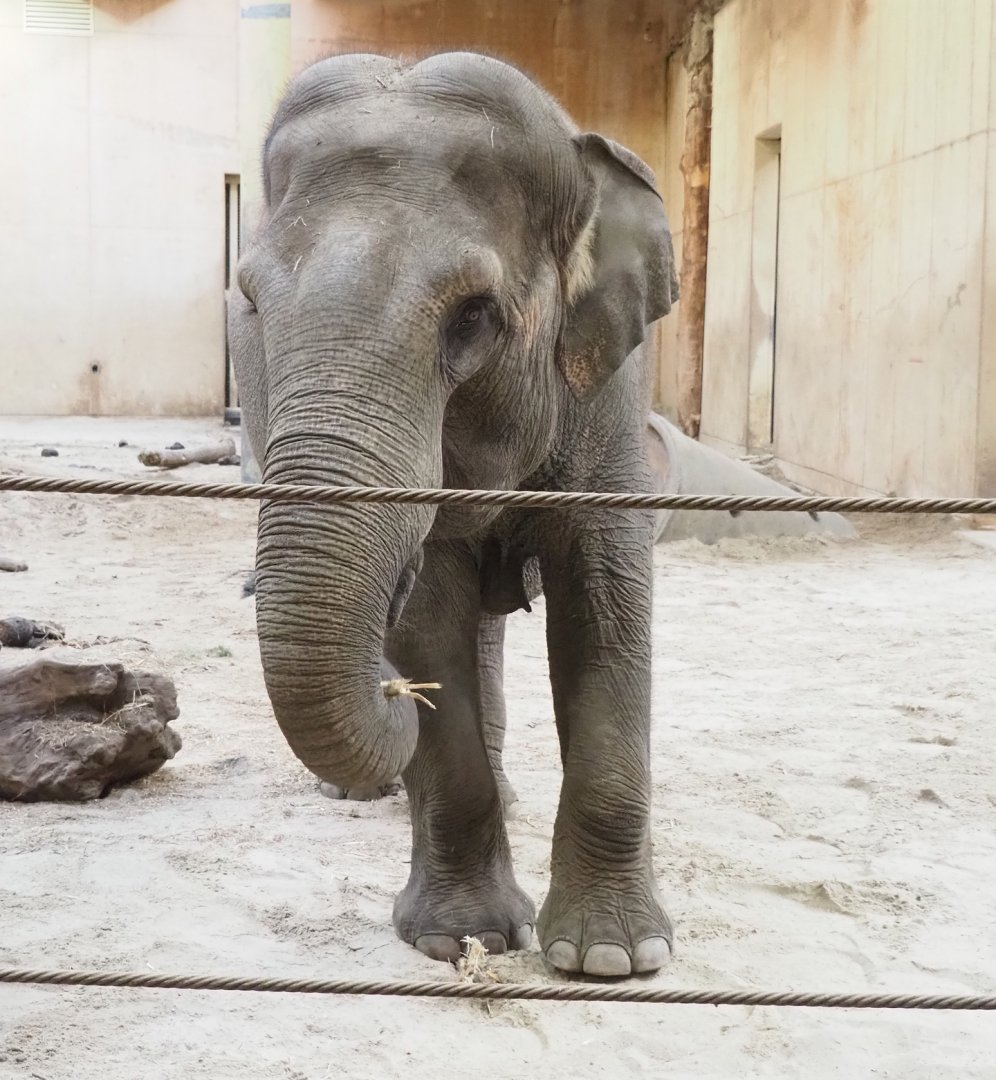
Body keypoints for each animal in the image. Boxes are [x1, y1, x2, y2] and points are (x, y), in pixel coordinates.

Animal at [229, 50, 680, 977]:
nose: (394, 695)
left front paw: (614, 958)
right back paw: (366, 791)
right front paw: (461, 938)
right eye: (254, 305)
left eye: (474, 316)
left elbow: (606, 589)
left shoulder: (614, 386)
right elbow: (433, 611)